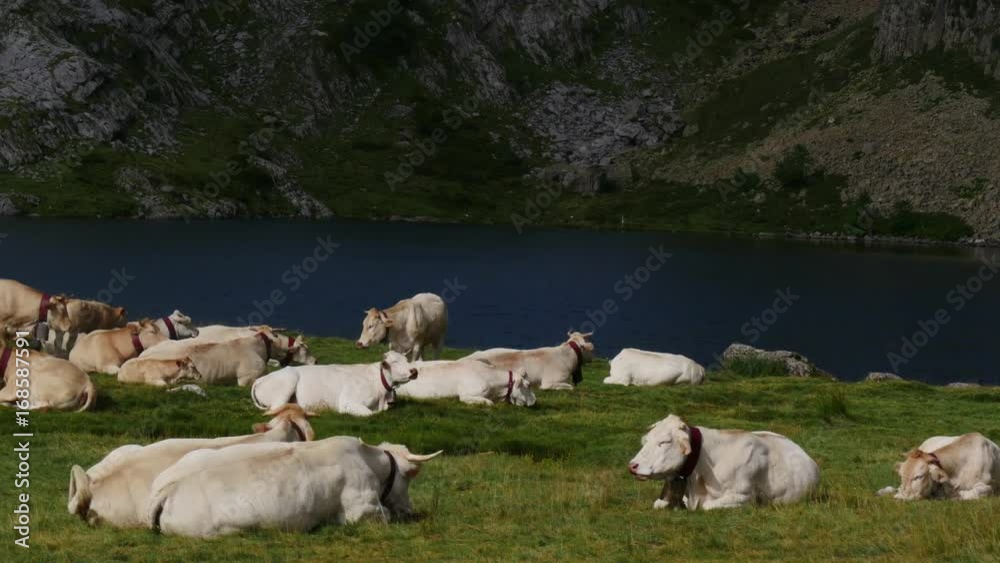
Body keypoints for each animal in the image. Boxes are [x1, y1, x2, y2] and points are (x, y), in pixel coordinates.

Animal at [251, 351, 418, 417]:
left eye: (406, 359)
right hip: (287, 383)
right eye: (395, 362)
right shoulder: (348, 402)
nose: (414, 370)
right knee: (275, 409)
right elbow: (370, 414)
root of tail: (260, 379)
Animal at [629, 414, 819, 510]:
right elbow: (659, 504)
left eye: (664, 442)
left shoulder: (744, 496)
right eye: (646, 440)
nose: (632, 465)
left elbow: (706, 506)